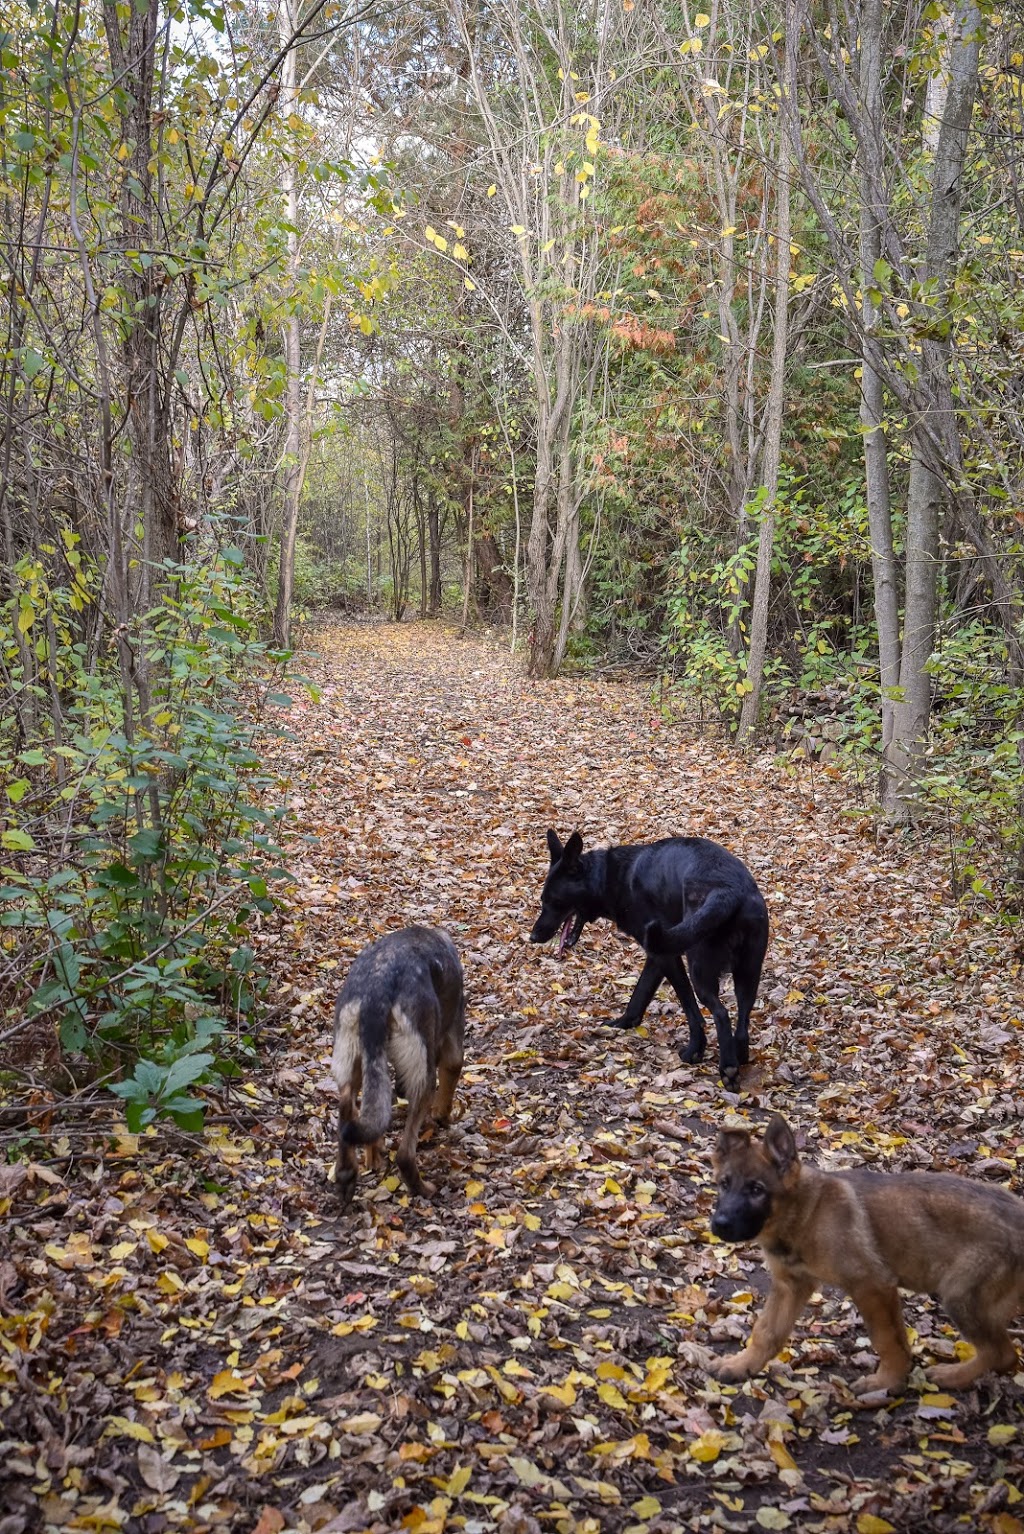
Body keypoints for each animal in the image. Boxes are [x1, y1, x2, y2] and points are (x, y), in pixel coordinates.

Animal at [329, 926, 466, 1202]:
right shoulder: (452, 1047)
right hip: (424, 1080)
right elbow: (448, 1087)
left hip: (353, 1061)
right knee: (404, 1155)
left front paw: (374, 1156)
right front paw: (443, 1117)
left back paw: (347, 1173)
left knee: (348, 1106)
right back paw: (423, 1189)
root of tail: (376, 990)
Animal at [527, 834, 766, 1086]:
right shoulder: (657, 954)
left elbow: (689, 1007)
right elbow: (641, 992)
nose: (533, 937)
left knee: (720, 1013)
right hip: (748, 973)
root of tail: (727, 891)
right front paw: (624, 1022)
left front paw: (695, 1050)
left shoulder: (666, 955)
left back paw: (728, 1067)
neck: (609, 877)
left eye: (553, 901)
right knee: (744, 1014)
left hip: (700, 970)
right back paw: (740, 1054)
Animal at [708, 1116, 1024, 1392]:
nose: (719, 1224)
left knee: (1002, 1354)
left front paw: (887, 1381)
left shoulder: (872, 1286)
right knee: (1004, 1355)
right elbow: (766, 1331)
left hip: (961, 1296)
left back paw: (952, 1376)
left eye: (756, 1190)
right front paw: (742, 1365)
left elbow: (887, 1340)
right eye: (724, 1184)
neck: (805, 1213)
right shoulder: (790, 1285)